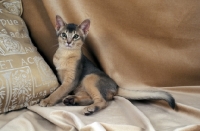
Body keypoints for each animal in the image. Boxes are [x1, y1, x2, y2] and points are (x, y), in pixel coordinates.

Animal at [39, 15, 175, 115]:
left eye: (76, 36)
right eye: (64, 35)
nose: (68, 42)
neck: (65, 55)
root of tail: (116, 86)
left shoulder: (71, 80)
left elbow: (58, 91)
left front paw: (47, 100)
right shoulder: (62, 77)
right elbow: (60, 90)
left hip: (90, 77)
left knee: (102, 101)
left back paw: (90, 108)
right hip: (82, 86)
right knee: (91, 98)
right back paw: (72, 100)